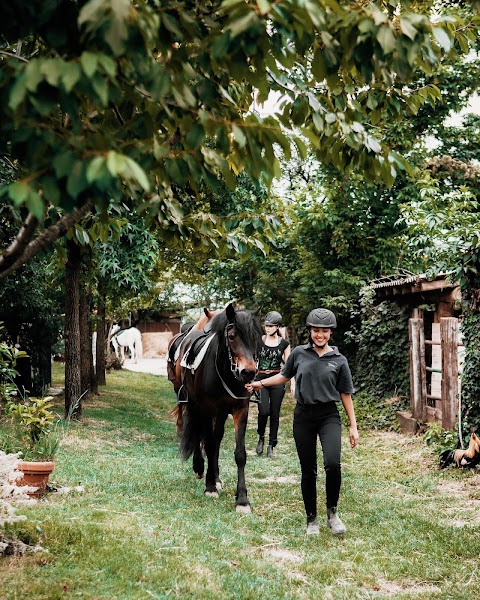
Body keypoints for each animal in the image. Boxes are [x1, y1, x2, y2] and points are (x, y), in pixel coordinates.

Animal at [172, 302, 262, 512]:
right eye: (232, 336)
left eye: (257, 337)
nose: (248, 372)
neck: (226, 372)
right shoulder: (206, 409)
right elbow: (209, 444)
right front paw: (210, 486)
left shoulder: (240, 410)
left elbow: (239, 453)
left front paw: (242, 499)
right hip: (193, 404)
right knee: (200, 435)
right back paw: (200, 468)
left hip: (220, 413)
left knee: (217, 437)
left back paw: (216, 476)